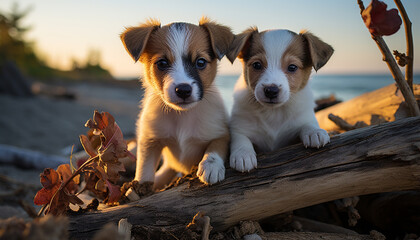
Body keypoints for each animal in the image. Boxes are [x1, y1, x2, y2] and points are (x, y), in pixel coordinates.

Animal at [226, 28, 334, 172]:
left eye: (292, 67)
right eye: (257, 65)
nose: (271, 90)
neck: (274, 112)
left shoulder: (302, 119)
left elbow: (307, 124)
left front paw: (314, 132)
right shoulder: (239, 126)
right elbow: (240, 138)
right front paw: (243, 154)